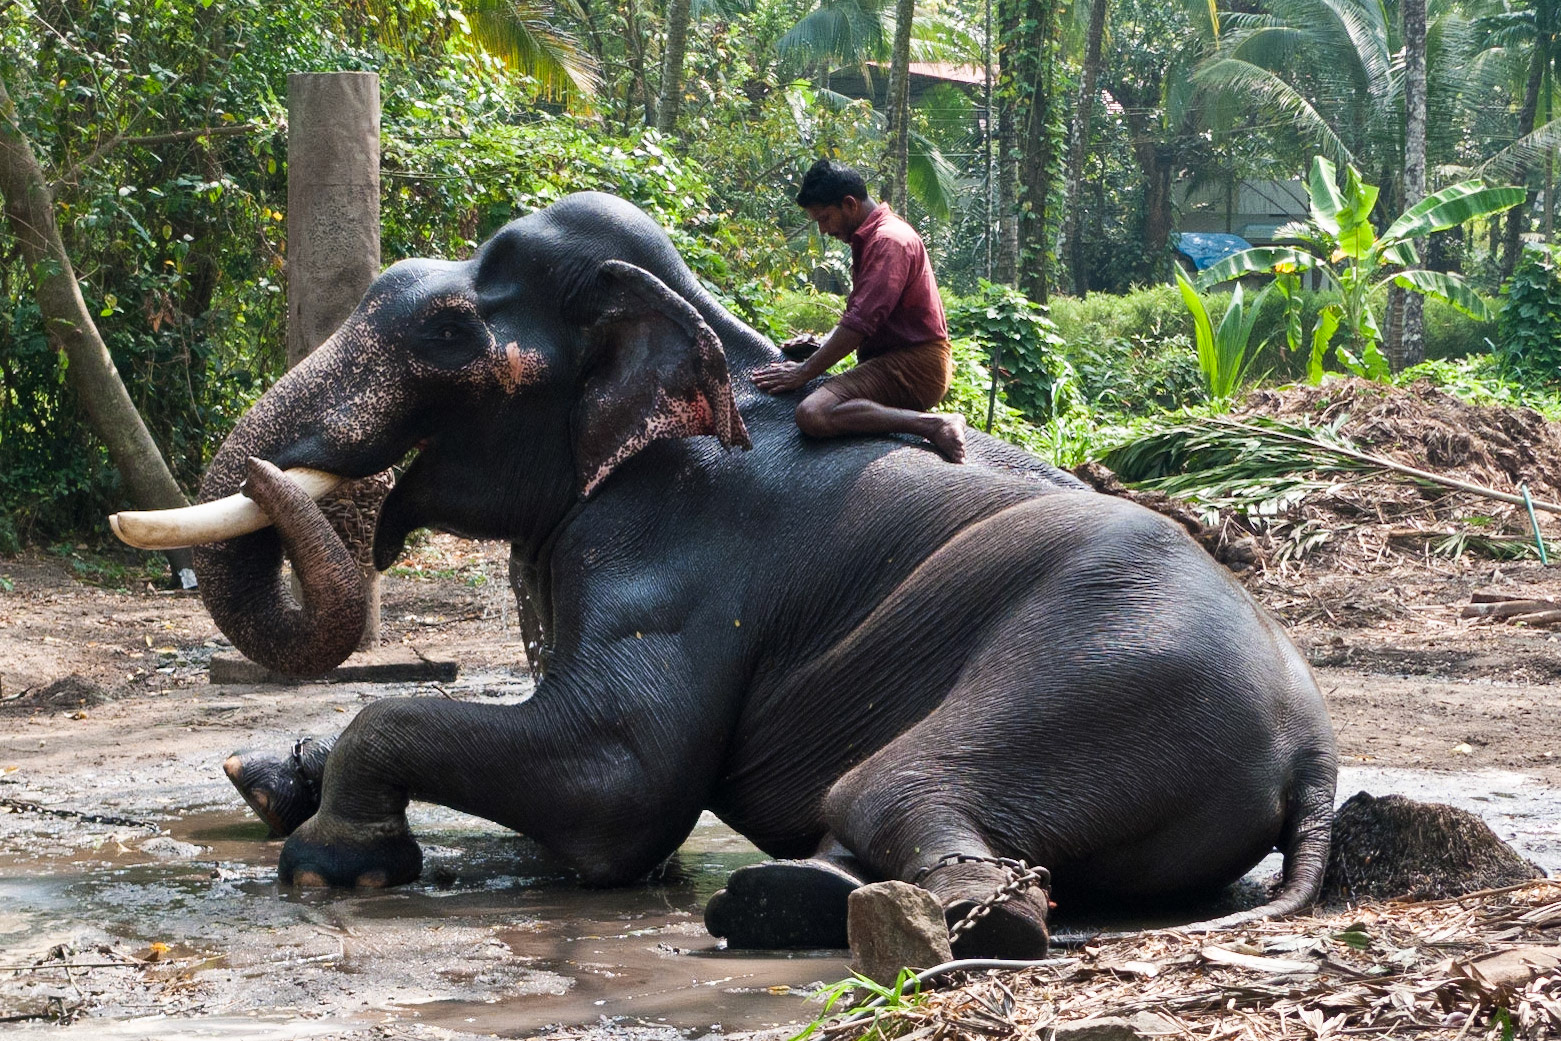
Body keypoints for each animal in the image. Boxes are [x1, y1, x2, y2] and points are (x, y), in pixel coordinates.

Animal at [119, 192, 1337, 956]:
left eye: (449, 333)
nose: (276, 465)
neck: (706, 331)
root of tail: (1316, 751)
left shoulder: (675, 549)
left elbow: (622, 785)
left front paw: (334, 861)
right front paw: (264, 778)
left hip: (1110, 677)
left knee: (896, 791)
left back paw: (857, 914)